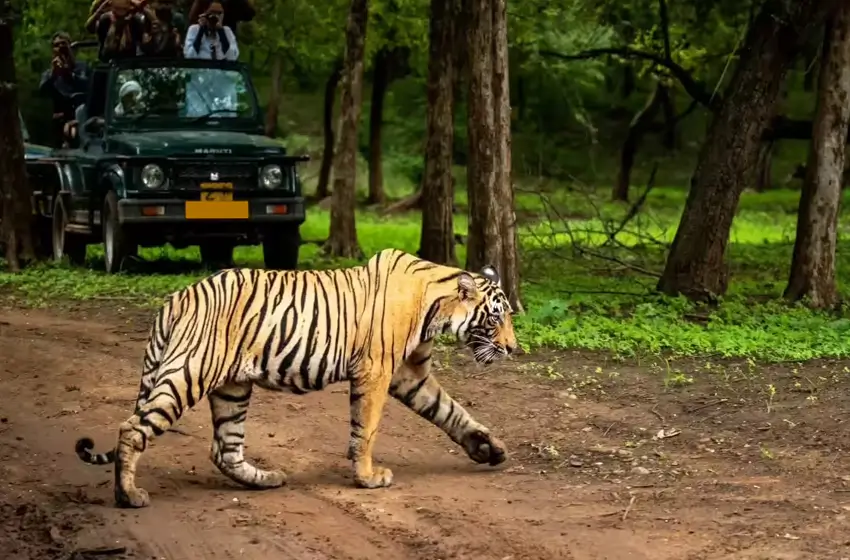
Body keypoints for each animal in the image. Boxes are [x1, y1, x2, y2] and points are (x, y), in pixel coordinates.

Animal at [74, 248, 517, 508]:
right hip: (189, 372)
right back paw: (128, 495)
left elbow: (452, 412)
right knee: (133, 428)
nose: (513, 348)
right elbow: (367, 429)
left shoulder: (410, 375)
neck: (435, 308)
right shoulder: (376, 372)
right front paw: (368, 478)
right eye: (496, 317)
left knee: (225, 449)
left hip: (232, 387)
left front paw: (489, 448)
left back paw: (266, 480)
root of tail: (177, 297)